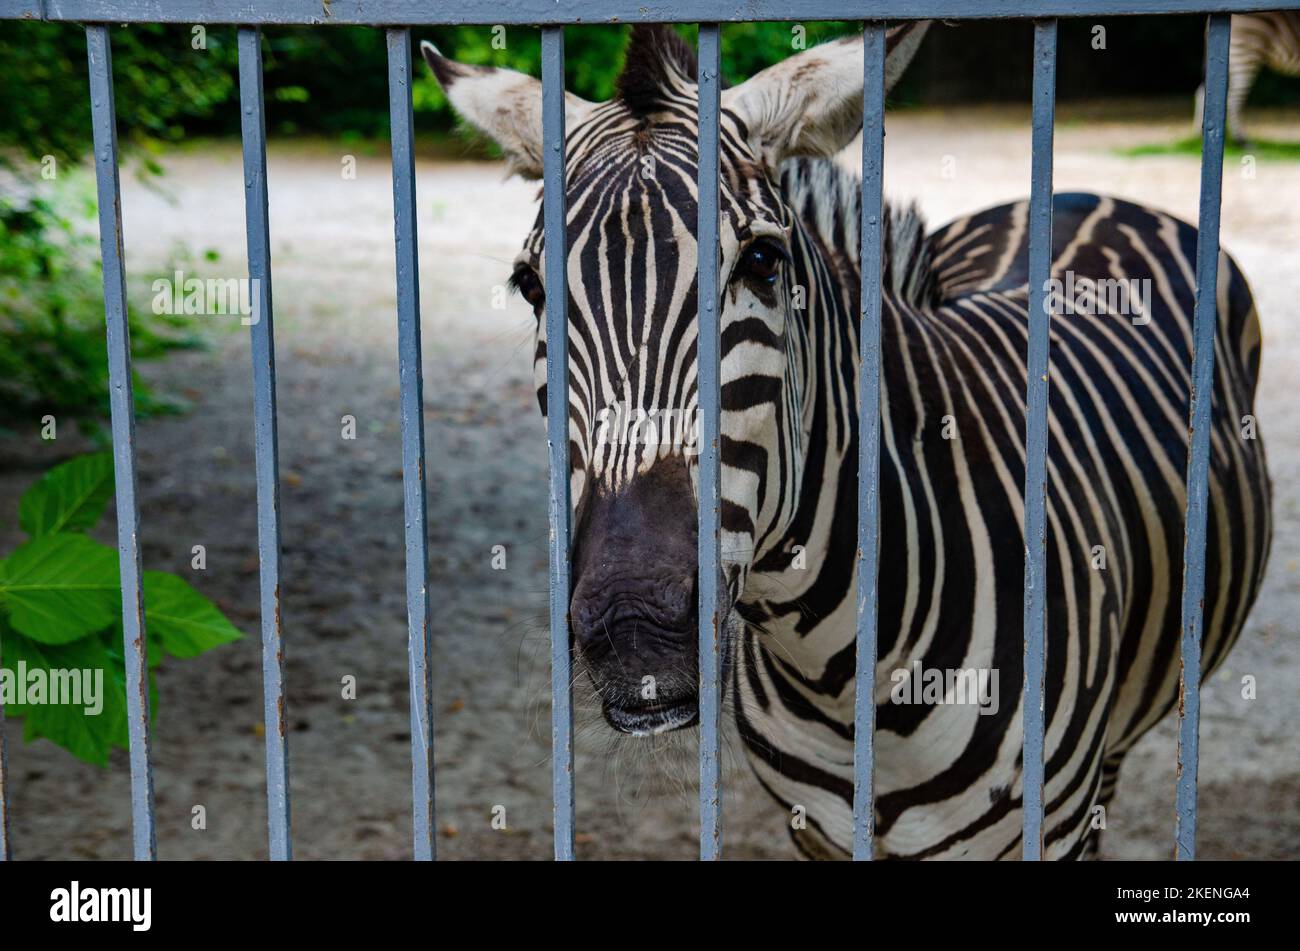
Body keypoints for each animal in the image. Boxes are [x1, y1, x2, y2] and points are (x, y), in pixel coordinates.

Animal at [421, 23, 1271, 859]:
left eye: (763, 261)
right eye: (531, 287)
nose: (634, 625)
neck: (843, 673)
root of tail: (1090, 195)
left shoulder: (1048, 827)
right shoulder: (816, 829)